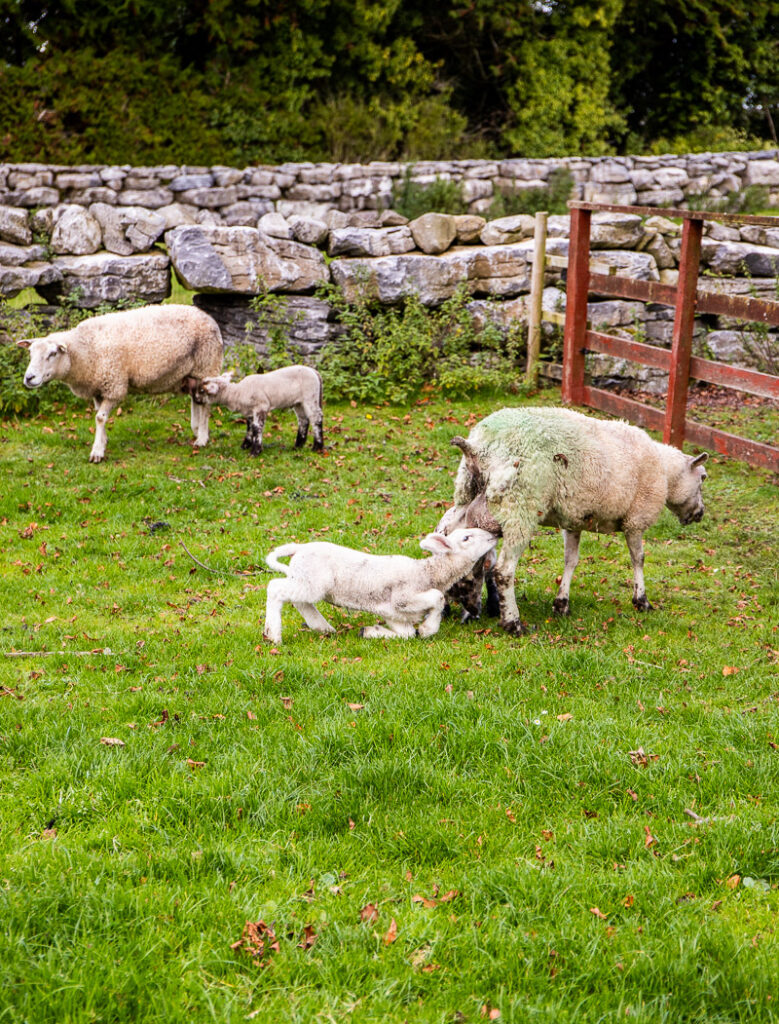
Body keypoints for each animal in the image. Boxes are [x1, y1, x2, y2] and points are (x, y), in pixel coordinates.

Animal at [17, 303, 222, 464]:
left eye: (52, 353)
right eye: (30, 353)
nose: (29, 378)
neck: (86, 350)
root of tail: (208, 317)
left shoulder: (114, 386)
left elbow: (100, 418)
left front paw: (97, 452)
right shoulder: (98, 389)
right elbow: (99, 415)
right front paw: (103, 441)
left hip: (207, 365)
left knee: (206, 404)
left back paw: (202, 439)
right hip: (193, 373)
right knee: (196, 399)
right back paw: (197, 430)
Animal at [193, 364, 323, 452]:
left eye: (202, 390)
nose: (195, 399)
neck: (238, 393)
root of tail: (315, 372)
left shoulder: (261, 407)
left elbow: (257, 428)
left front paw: (255, 451)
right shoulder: (250, 412)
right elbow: (250, 428)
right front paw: (245, 446)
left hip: (310, 396)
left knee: (316, 419)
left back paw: (317, 447)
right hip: (298, 402)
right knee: (303, 420)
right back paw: (298, 446)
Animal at [261, 528, 495, 638]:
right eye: (466, 538)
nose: (493, 535)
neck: (427, 573)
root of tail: (299, 548)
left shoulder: (393, 613)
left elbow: (407, 634)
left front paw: (369, 632)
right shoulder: (402, 598)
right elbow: (437, 598)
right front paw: (428, 629)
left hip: (305, 580)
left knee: (300, 601)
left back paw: (323, 627)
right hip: (311, 582)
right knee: (275, 588)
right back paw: (273, 635)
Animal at [440, 405, 708, 630]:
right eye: (703, 477)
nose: (700, 514)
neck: (665, 473)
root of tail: (478, 447)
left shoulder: (573, 521)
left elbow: (571, 560)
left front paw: (562, 603)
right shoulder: (636, 520)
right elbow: (638, 559)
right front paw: (641, 600)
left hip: (467, 498)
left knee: (451, 541)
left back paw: (456, 606)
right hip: (518, 508)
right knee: (504, 570)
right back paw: (512, 622)